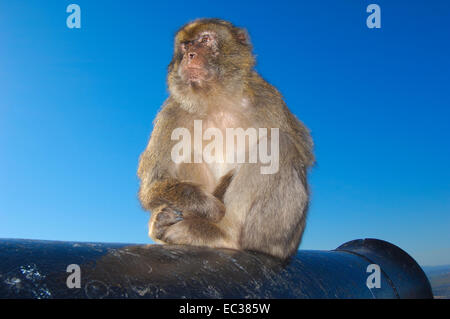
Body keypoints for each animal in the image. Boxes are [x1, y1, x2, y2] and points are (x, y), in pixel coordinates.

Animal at [137, 18, 312, 262]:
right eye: (185, 45)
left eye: (205, 40)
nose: (189, 54)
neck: (216, 100)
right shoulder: (171, 112)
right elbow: (153, 182)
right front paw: (208, 207)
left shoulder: (268, 99)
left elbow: (301, 153)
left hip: (281, 238)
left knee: (279, 145)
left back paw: (222, 234)